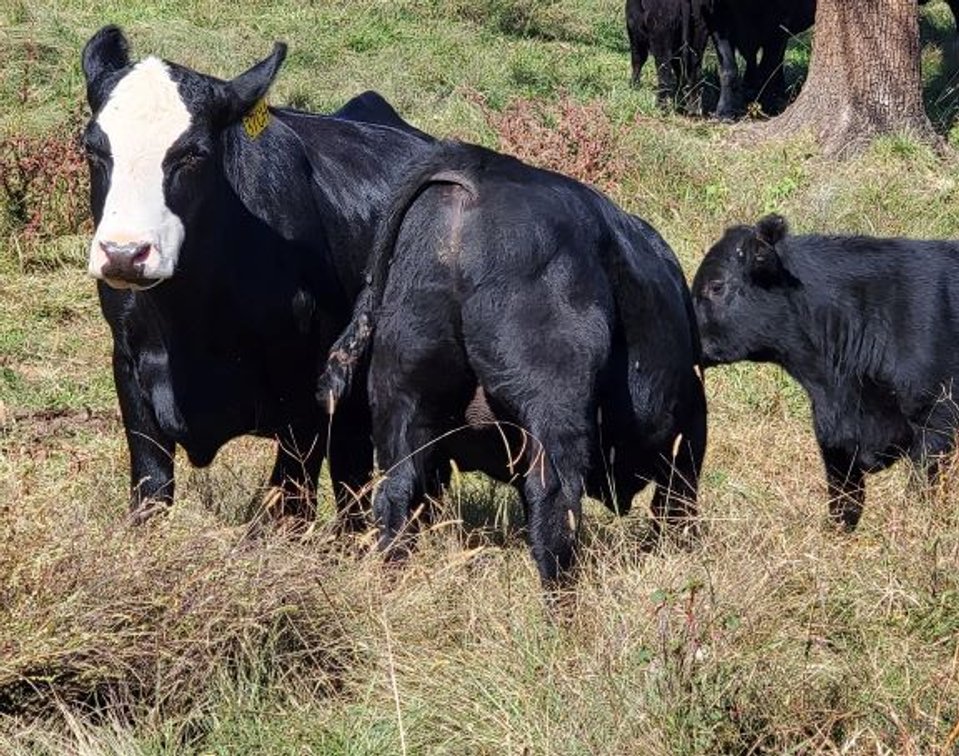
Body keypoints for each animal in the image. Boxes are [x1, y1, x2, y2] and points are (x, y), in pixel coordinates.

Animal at [81, 26, 432, 525]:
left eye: (194, 155)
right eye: (92, 148)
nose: (125, 253)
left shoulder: (307, 397)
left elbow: (288, 504)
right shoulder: (129, 366)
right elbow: (151, 487)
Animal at [317, 140, 708, 588]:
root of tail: (482, 165)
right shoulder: (691, 429)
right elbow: (676, 502)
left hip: (402, 390)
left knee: (396, 494)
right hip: (554, 401)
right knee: (554, 498)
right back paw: (562, 598)